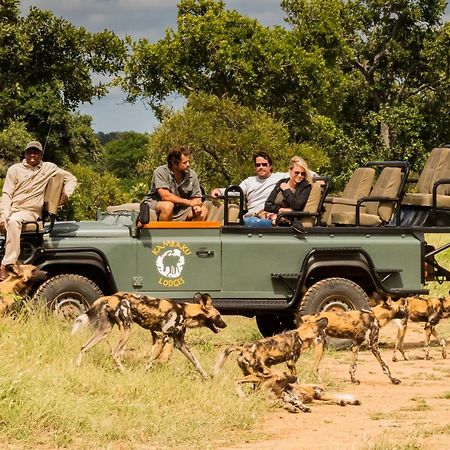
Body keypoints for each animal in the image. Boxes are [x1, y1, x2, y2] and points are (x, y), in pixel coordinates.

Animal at [74, 292, 229, 380]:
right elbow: (152, 359)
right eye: (219, 316)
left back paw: (77, 368)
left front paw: (206, 377)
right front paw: (144, 374)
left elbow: (196, 362)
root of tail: (112, 296)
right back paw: (125, 373)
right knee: (115, 353)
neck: (185, 312)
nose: (226, 325)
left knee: (83, 347)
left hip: (104, 331)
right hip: (127, 329)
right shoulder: (163, 336)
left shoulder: (180, 343)